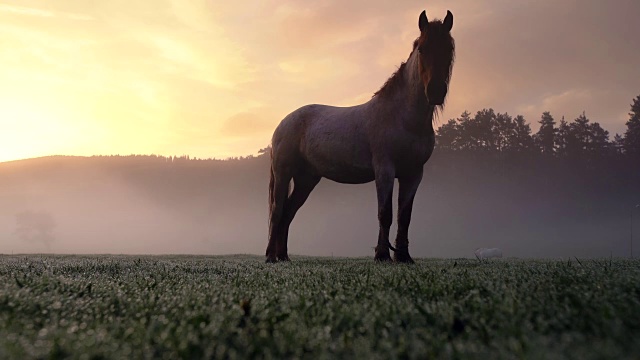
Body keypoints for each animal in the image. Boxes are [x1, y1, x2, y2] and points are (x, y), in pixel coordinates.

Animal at [264, 8, 456, 262]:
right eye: (422, 48)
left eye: (449, 48)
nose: (435, 91)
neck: (403, 118)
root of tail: (283, 123)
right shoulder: (385, 169)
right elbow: (385, 213)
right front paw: (382, 255)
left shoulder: (414, 174)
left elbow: (404, 216)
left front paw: (403, 256)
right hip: (284, 173)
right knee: (277, 211)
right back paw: (270, 256)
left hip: (307, 179)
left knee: (289, 212)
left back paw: (283, 256)